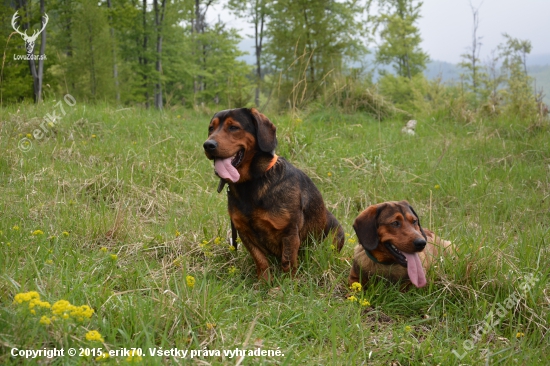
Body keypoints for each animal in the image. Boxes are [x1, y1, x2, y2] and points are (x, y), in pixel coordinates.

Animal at [205, 108, 344, 280]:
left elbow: (287, 262)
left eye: (233, 127)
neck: (252, 182)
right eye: (211, 128)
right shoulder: (244, 232)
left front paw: (288, 284)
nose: (208, 145)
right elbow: (261, 261)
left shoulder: (289, 233)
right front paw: (265, 282)